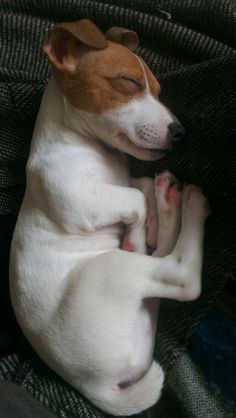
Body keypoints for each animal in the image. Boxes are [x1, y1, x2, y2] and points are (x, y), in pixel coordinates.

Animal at [9, 18, 208, 414]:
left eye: (158, 91)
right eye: (128, 82)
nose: (179, 132)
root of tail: (96, 389)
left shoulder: (119, 183)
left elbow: (139, 185)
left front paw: (151, 219)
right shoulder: (77, 198)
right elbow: (135, 197)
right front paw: (137, 231)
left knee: (163, 256)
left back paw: (169, 201)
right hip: (114, 271)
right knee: (182, 277)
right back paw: (191, 206)